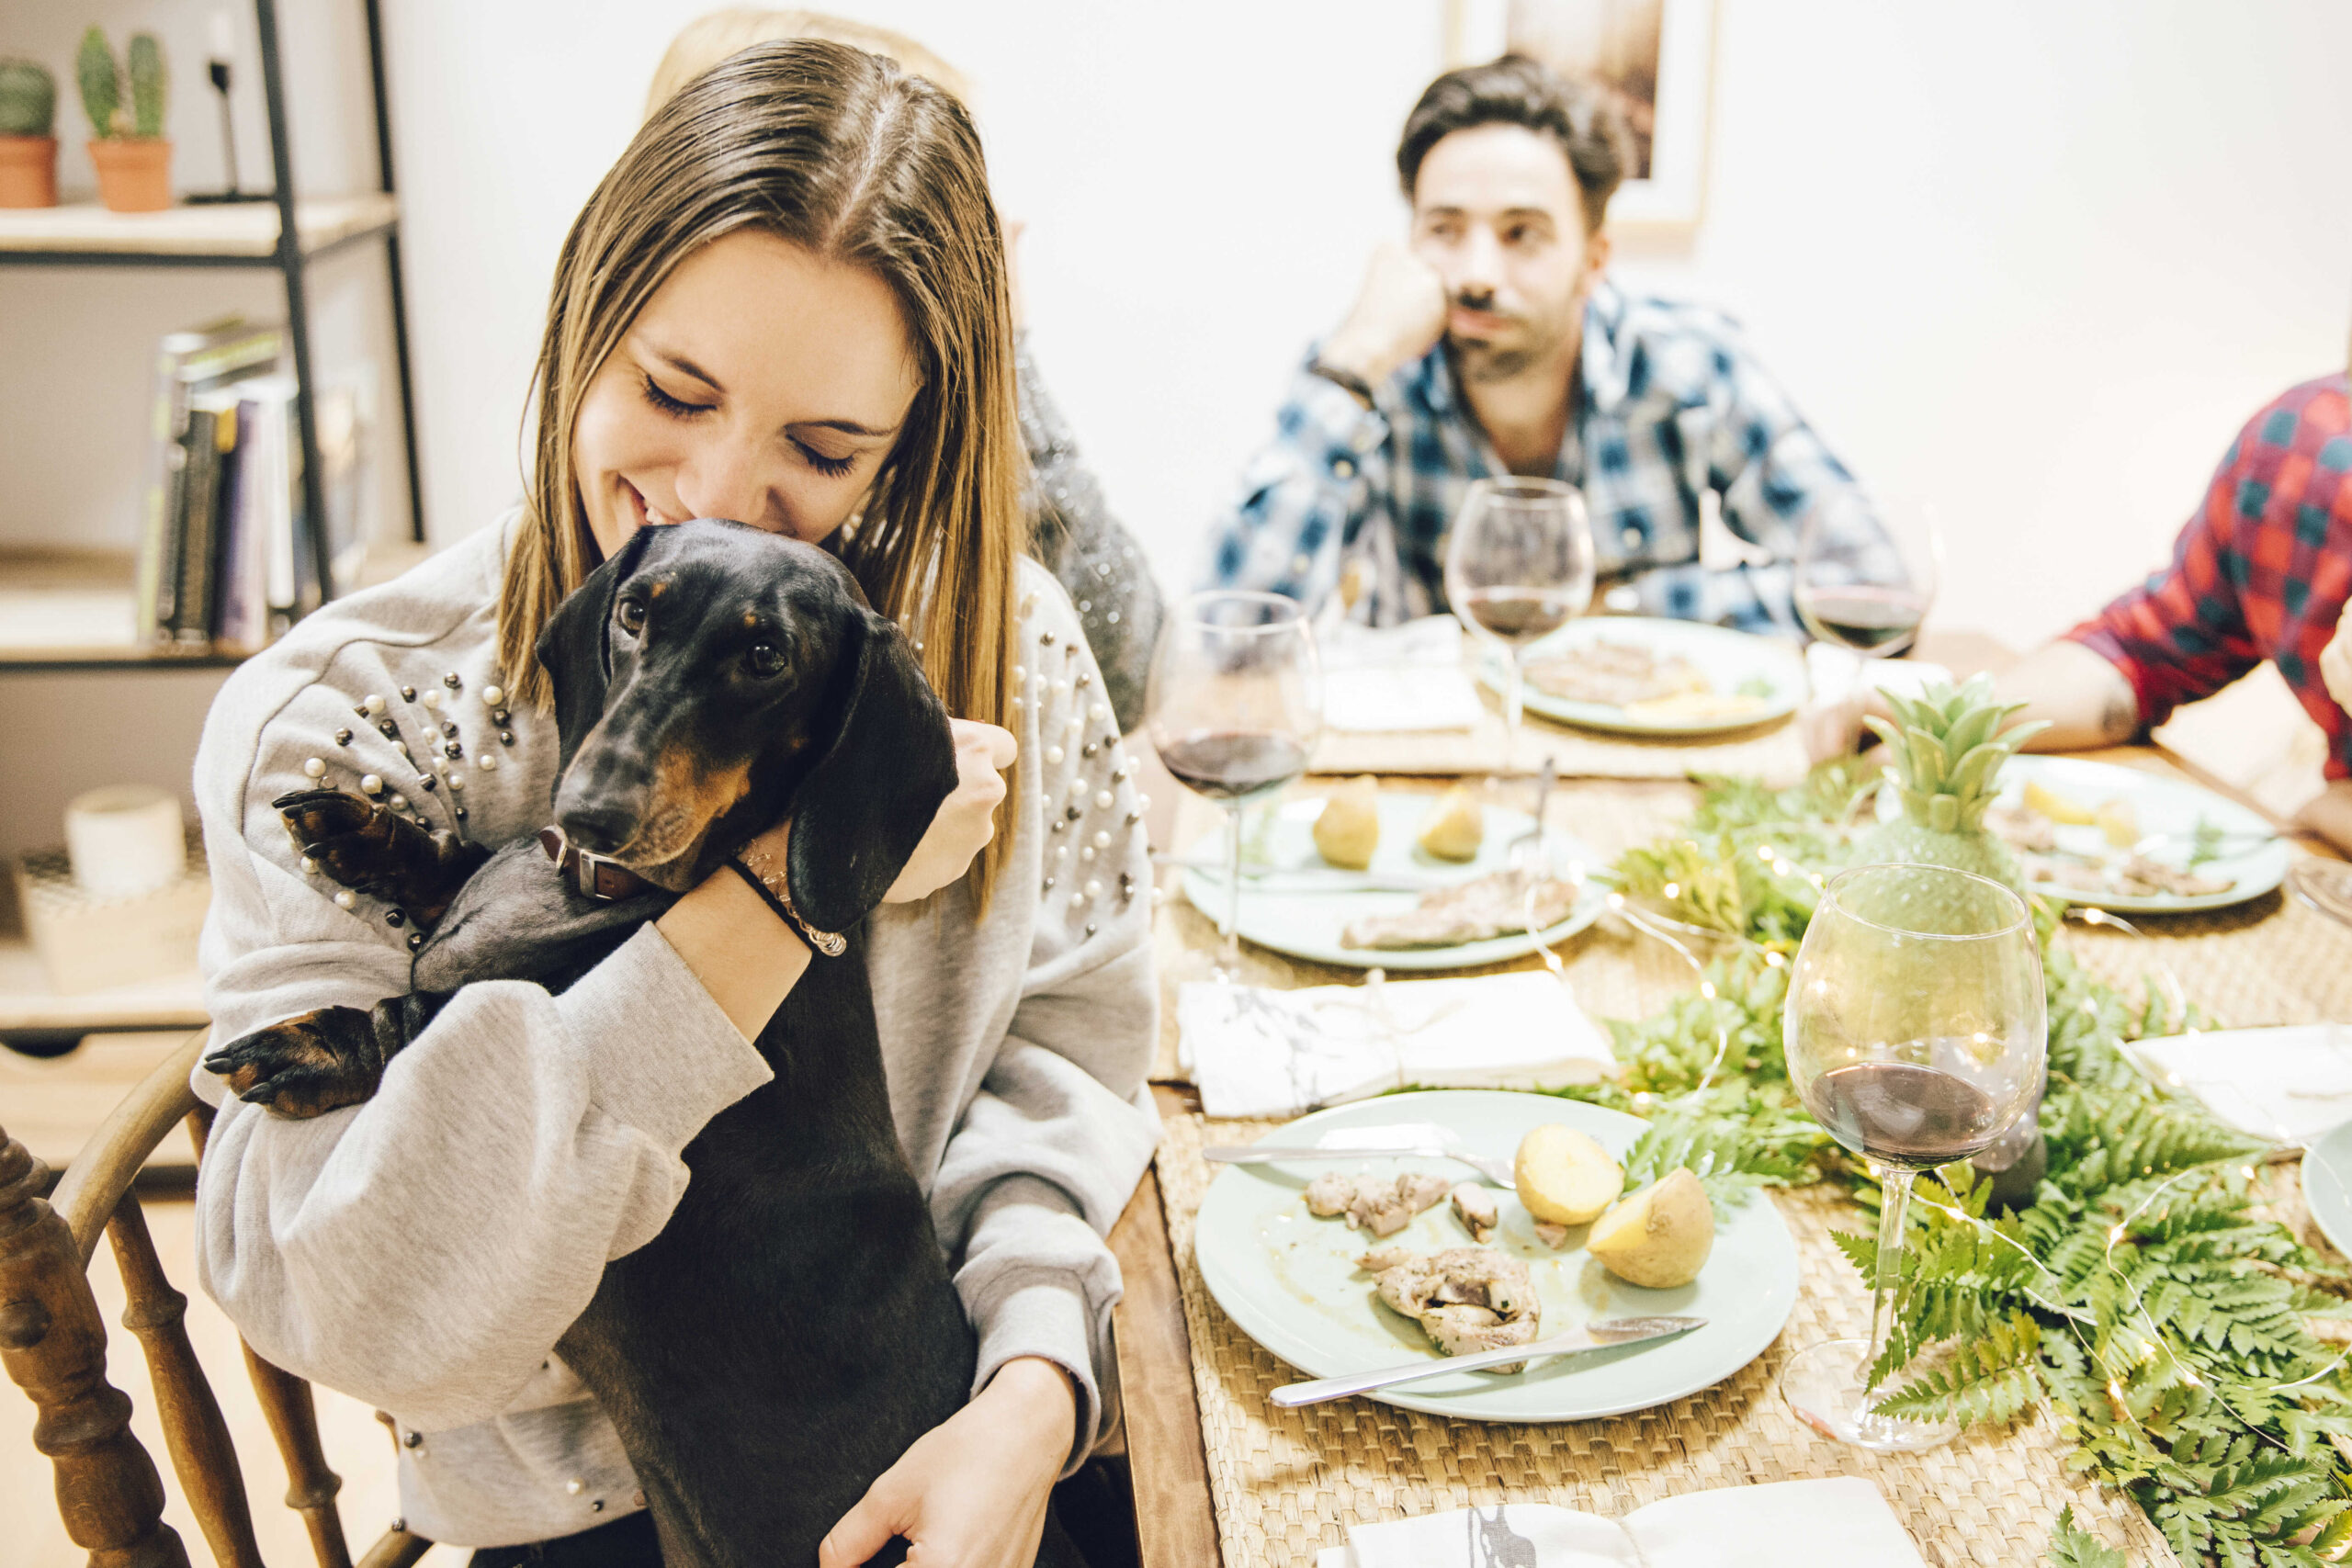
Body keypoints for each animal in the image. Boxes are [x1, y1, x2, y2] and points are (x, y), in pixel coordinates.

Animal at [207, 522, 1077, 1561]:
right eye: (633, 611)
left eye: (765, 657)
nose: (589, 809)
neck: (614, 894)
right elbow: (450, 872)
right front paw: (367, 830)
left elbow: (418, 1019)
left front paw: (308, 1044)